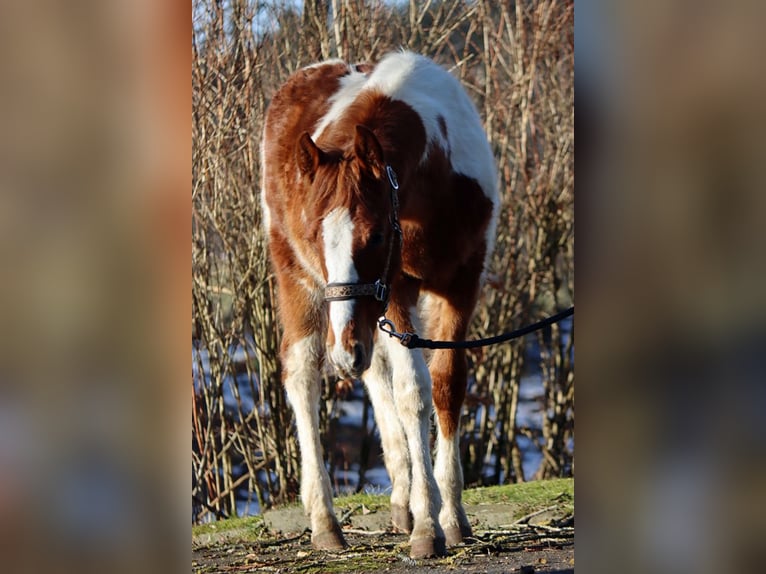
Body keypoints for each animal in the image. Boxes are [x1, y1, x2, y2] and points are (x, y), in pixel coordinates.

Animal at [260, 53, 500, 560]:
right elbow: (413, 392)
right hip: (300, 282)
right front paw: (428, 525)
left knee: (374, 371)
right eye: (314, 237)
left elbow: (447, 384)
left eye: (373, 238)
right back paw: (326, 522)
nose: (343, 352)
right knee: (303, 373)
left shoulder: (461, 284)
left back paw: (401, 500)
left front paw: (451, 516)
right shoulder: (399, 287)